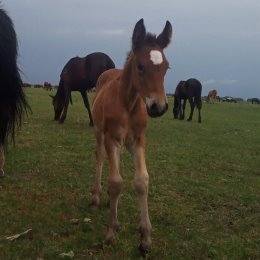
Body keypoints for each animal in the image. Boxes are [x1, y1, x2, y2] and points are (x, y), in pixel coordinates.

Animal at [90, 18, 172, 254]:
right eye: (140, 66)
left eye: (166, 67)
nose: (159, 107)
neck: (129, 103)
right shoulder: (111, 138)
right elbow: (116, 181)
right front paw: (110, 233)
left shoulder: (138, 140)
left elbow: (141, 180)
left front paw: (145, 238)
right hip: (99, 132)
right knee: (100, 158)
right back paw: (97, 196)